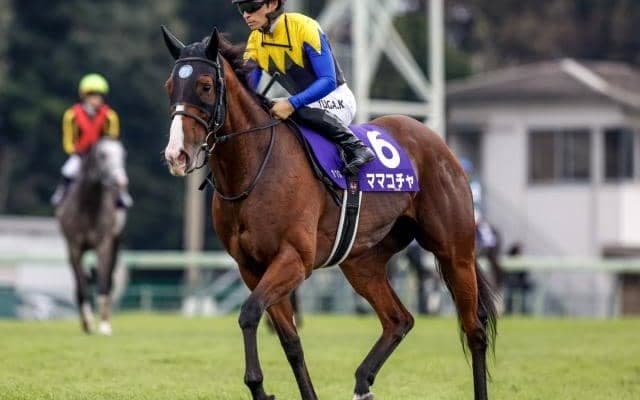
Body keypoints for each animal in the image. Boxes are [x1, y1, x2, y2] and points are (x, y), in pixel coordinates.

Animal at [55, 137, 128, 335]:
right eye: (103, 155)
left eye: (123, 154)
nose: (121, 180)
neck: (88, 204)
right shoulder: (74, 246)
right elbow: (82, 284)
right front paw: (87, 321)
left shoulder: (104, 244)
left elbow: (103, 281)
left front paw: (104, 325)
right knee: (80, 281)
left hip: (116, 244)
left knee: (109, 279)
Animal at [161, 27, 498, 400]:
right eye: (170, 86)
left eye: (205, 85)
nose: (176, 155)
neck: (253, 168)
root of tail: (437, 142)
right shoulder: (251, 267)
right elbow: (290, 341)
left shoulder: (294, 259)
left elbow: (249, 313)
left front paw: (258, 386)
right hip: (362, 262)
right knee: (399, 319)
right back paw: (363, 382)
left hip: (455, 252)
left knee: (474, 330)